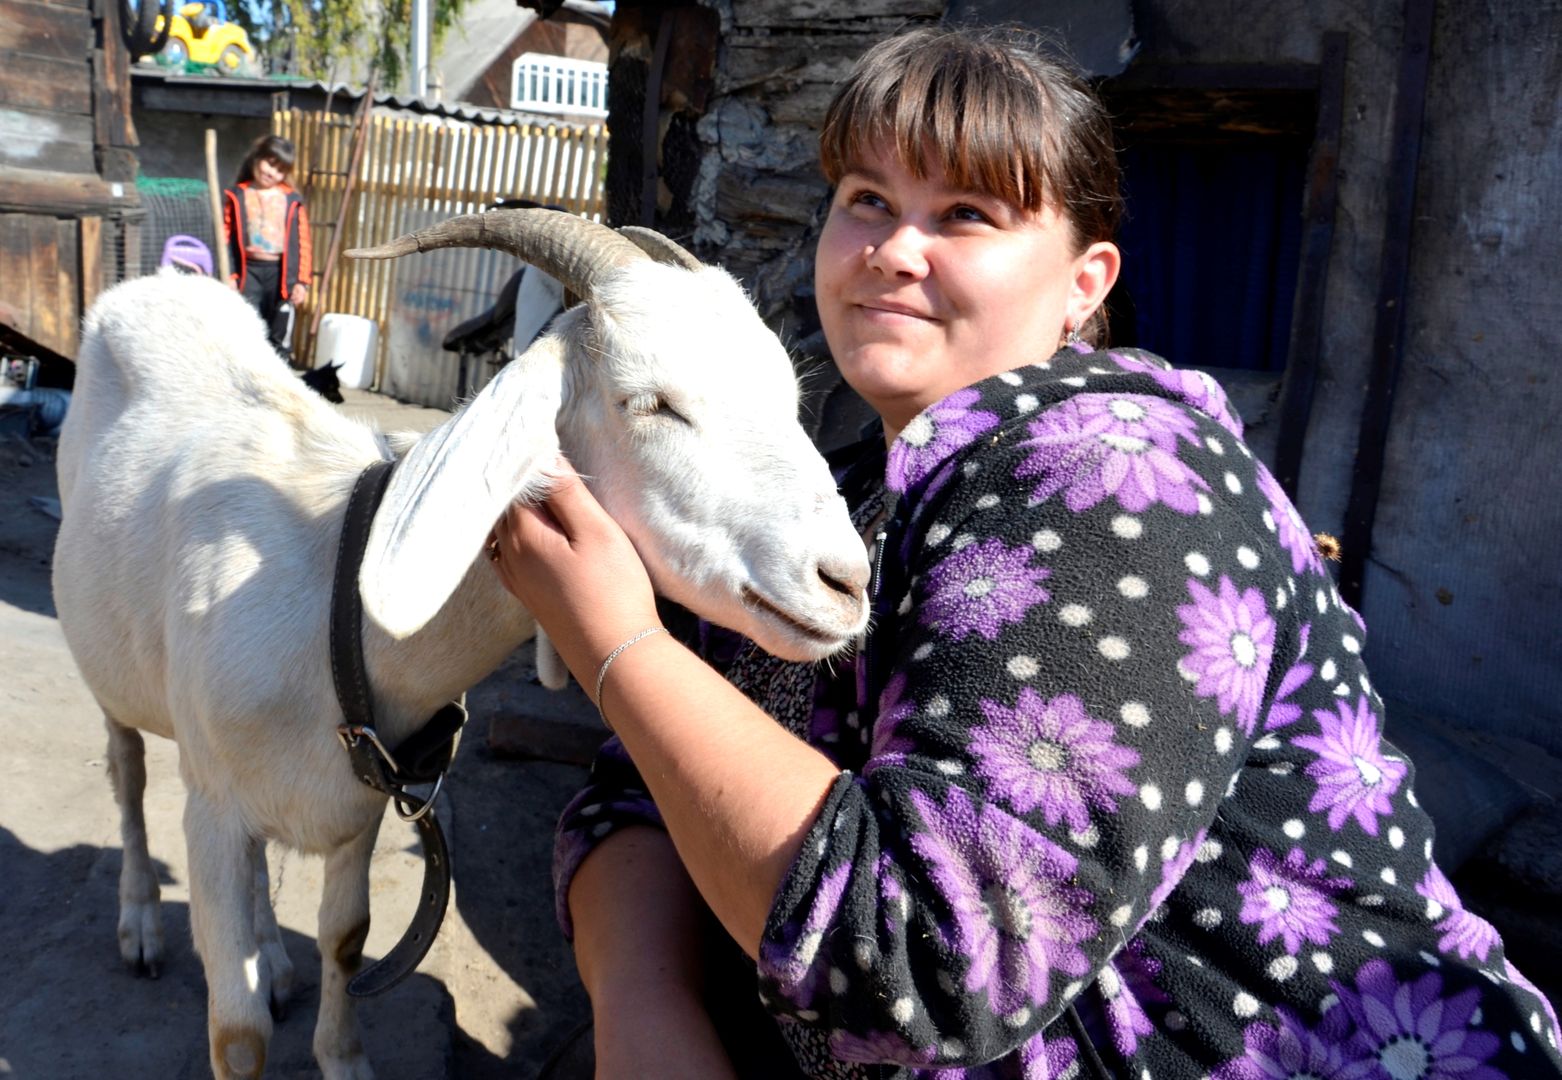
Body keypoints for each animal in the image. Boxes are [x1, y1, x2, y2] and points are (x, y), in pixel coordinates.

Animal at [51, 210, 868, 1080]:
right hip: (114, 681)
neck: (332, 604)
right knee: (128, 774)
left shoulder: (355, 807)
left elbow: (346, 939)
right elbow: (238, 1033)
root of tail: (161, 283)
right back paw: (141, 924)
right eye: (651, 402)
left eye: (790, 397)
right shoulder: (211, 812)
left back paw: (270, 957)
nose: (846, 583)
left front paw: (343, 1057)